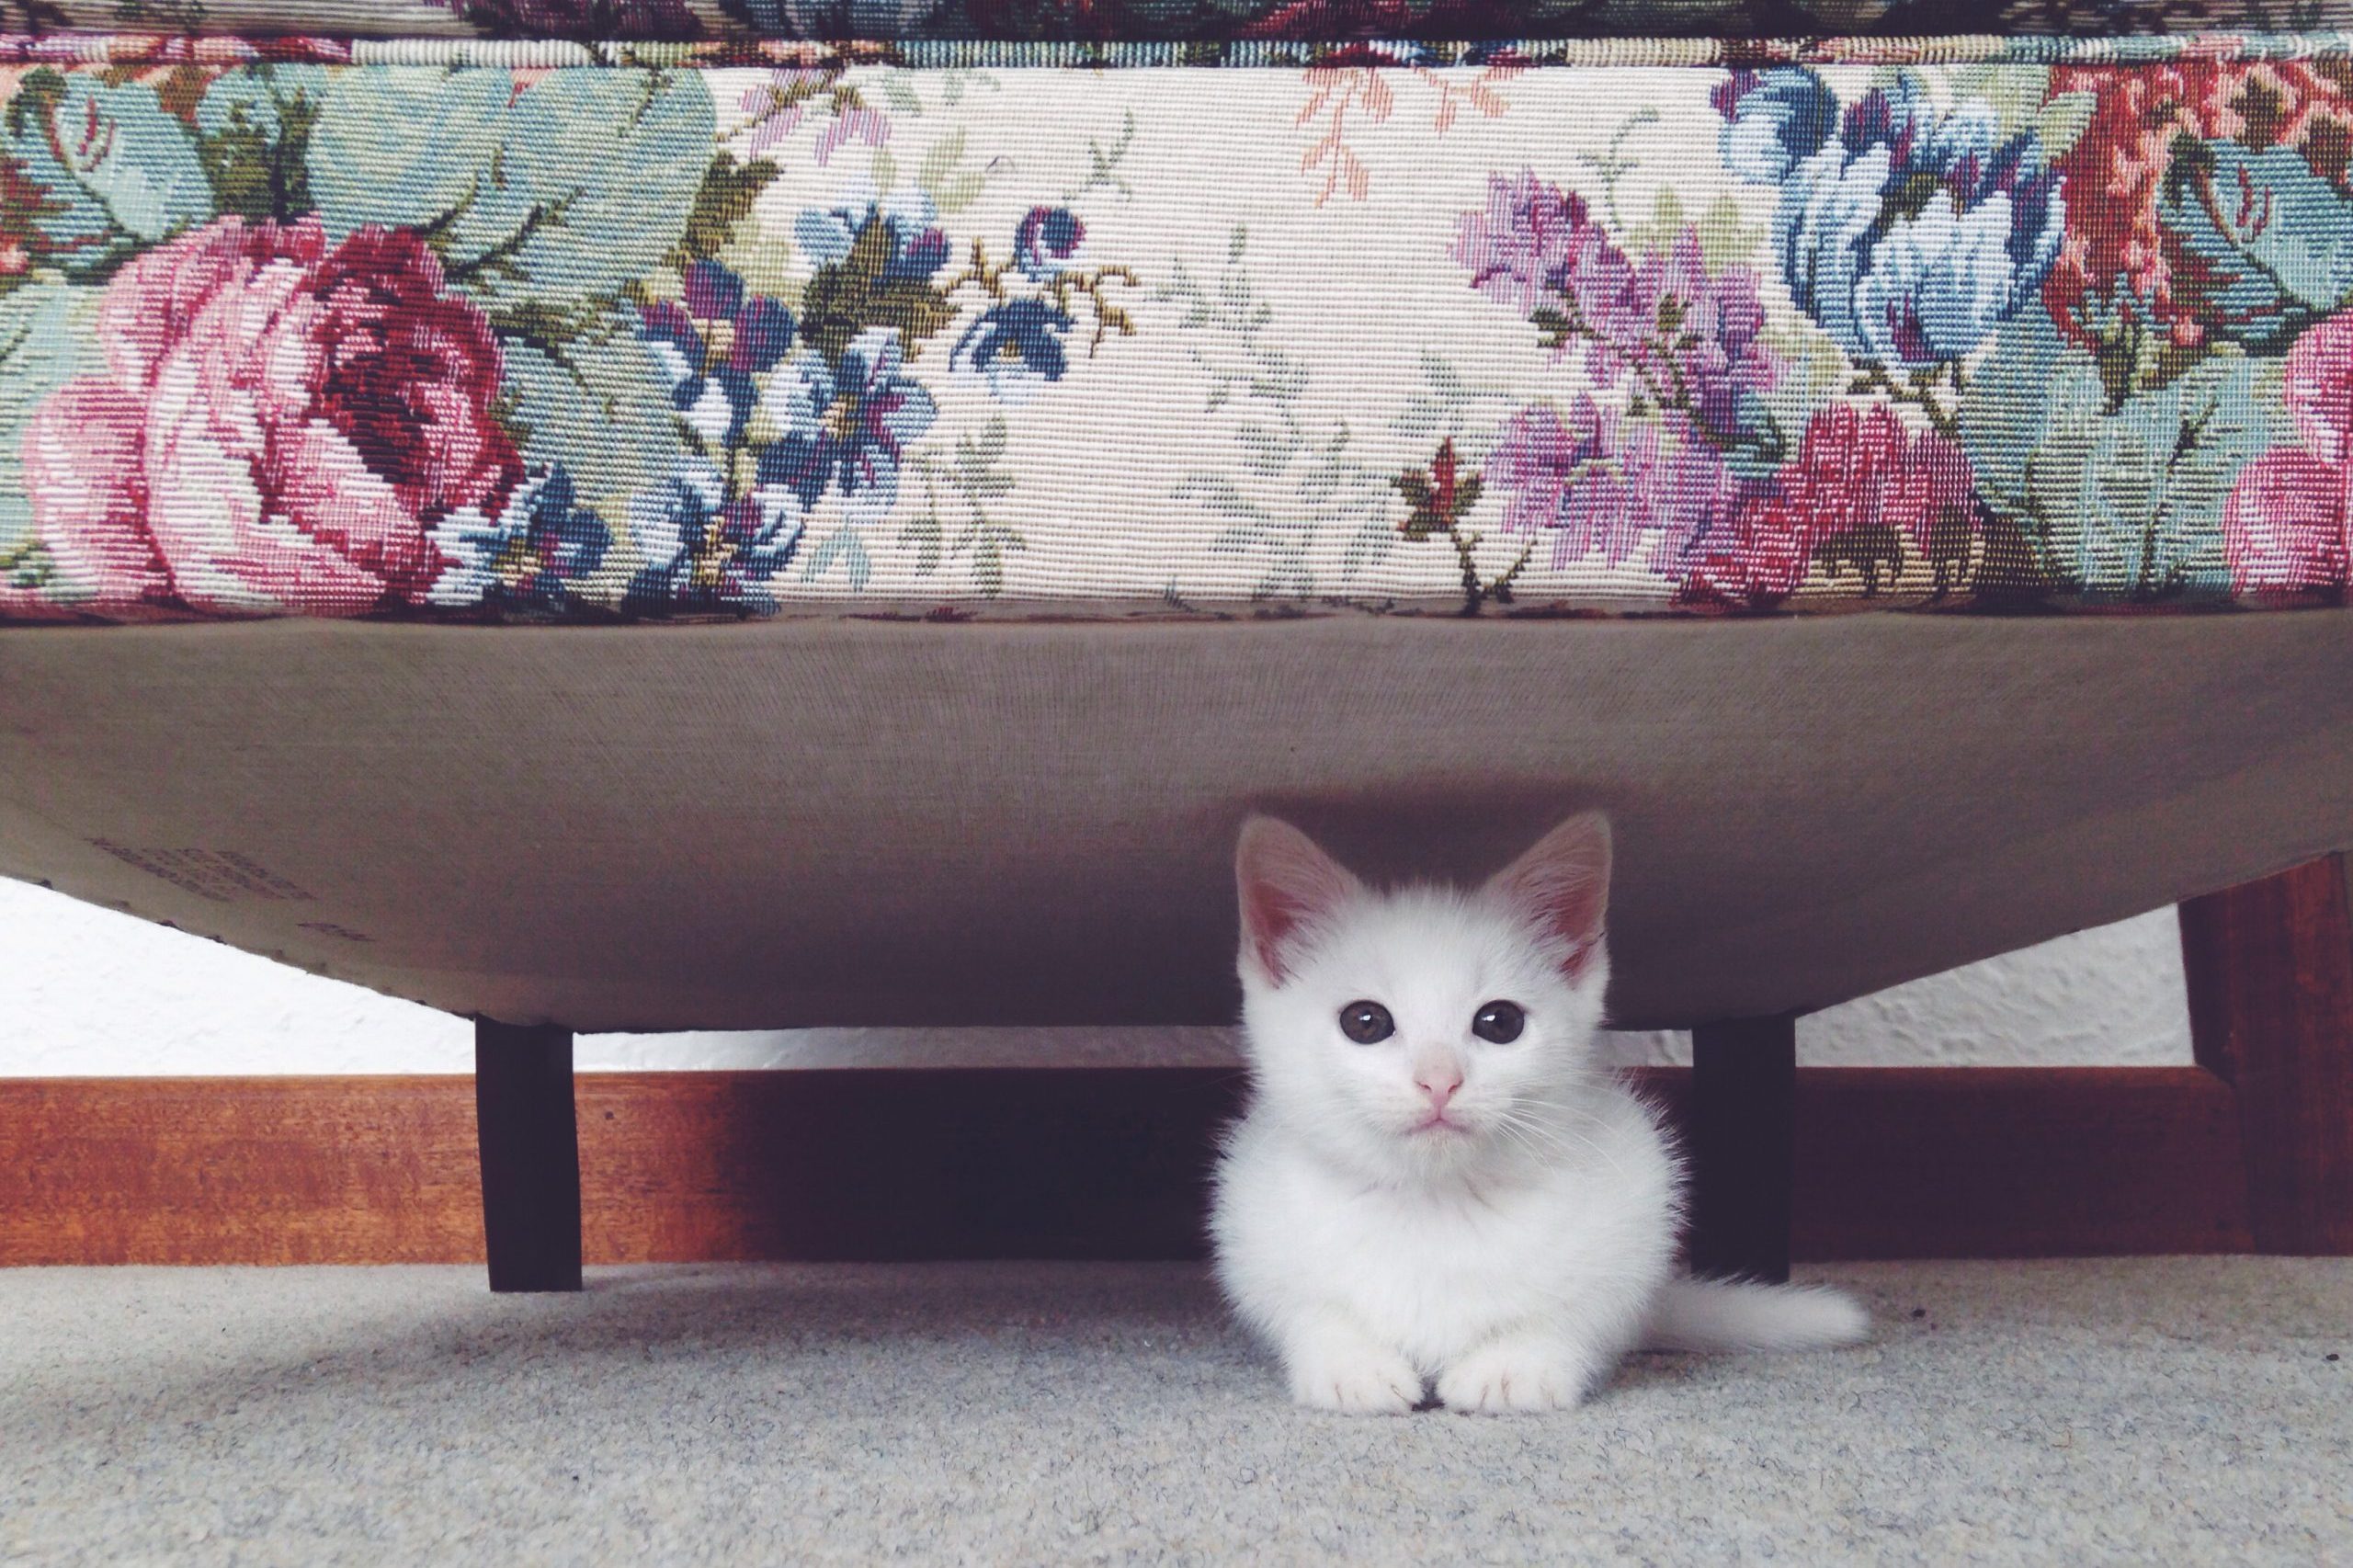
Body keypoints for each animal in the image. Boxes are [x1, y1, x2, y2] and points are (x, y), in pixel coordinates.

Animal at [1213, 810, 1854, 1412]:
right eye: (1364, 1021)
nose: (1440, 1080)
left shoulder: (1636, 1201)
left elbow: (1576, 1312)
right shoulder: (1253, 1223)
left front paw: (1514, 1366)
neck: (1435, 1203)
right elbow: (1304, 1306)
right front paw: (1351, 1364)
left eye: (1500, 1022)